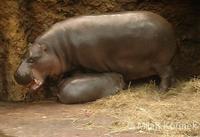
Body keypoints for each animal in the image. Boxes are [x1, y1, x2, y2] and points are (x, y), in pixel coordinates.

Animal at [14, 11, 177, 91]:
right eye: (25, 54)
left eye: (32, 58)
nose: (16, 75)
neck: (56, 48)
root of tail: (169, 26)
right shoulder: (75, 64)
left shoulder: (84, 64)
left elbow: (78, 74)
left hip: (160, 62)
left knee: (166, 74)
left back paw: (160, 91)